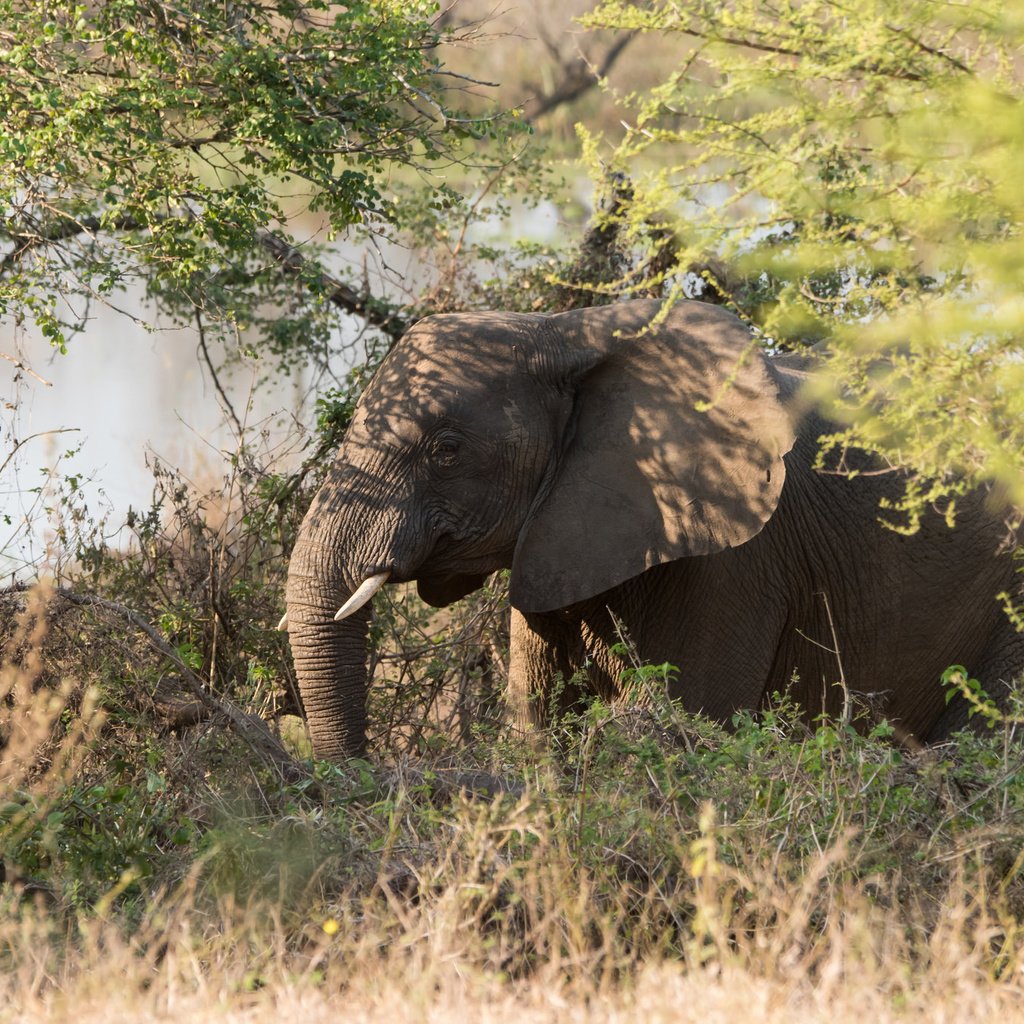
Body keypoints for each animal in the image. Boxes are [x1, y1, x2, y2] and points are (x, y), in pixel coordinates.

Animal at [280, 296, 1024, 761]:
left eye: (446, 450)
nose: (361, 770)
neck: (562, 332)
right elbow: (537, 727)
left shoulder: (736, 560)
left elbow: (679, 720)